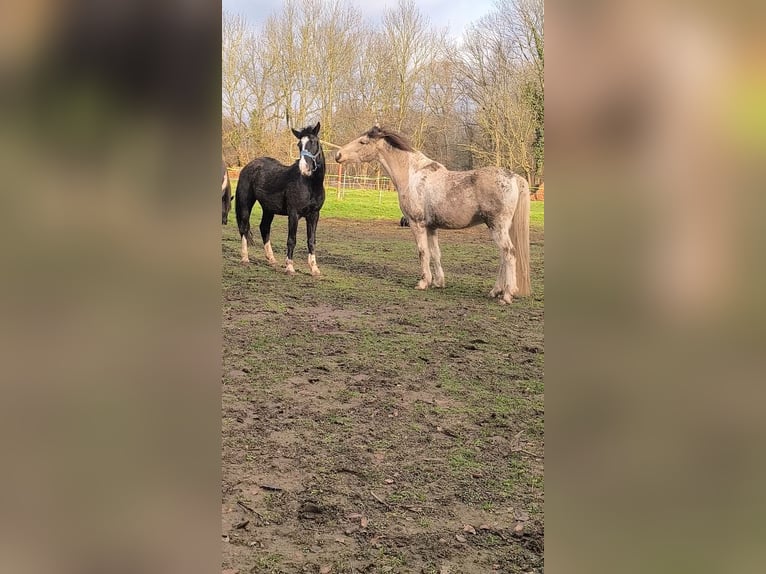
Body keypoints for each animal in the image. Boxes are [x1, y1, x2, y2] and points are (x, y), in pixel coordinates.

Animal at [237, 123, 328, 276]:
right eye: (299, 144)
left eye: (314, 142)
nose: (304, 168)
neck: (310, 185)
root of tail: (250, 165)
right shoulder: (293, 214)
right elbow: (292, 239)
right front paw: (289, 267)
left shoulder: (314, 215)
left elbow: (311, 240)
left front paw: (314, 269)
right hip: (245, 203)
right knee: (244, 227)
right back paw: (245, 258)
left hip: (268, 209)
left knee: (264, 228)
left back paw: (271, 259)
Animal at [334, 127, 528, 306]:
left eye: (363, 142)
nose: (338, 155)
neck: (412, 175)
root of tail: (514, 177)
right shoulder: (431, 227)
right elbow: (435, 253)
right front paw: (438, 282)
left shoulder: (416, 224)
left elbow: (423, 252)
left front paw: (423, 282)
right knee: (503, 257)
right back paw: (495, 291)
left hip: (497, 227)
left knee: (509, 254)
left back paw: (507, 295)